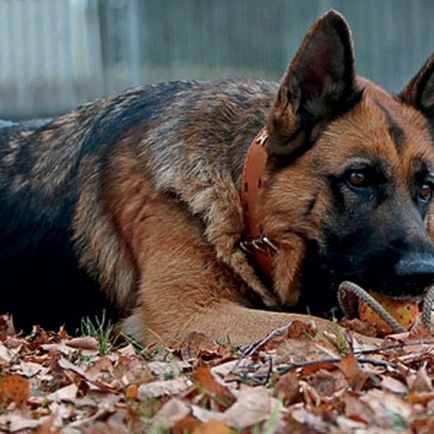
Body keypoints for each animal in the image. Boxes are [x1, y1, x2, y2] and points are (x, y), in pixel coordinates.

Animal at [0, 11, 434, 344]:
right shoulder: (187, 314)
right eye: (358, 178)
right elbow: (323, 327)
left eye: (426, 188)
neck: (240, 199)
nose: (423, 273)